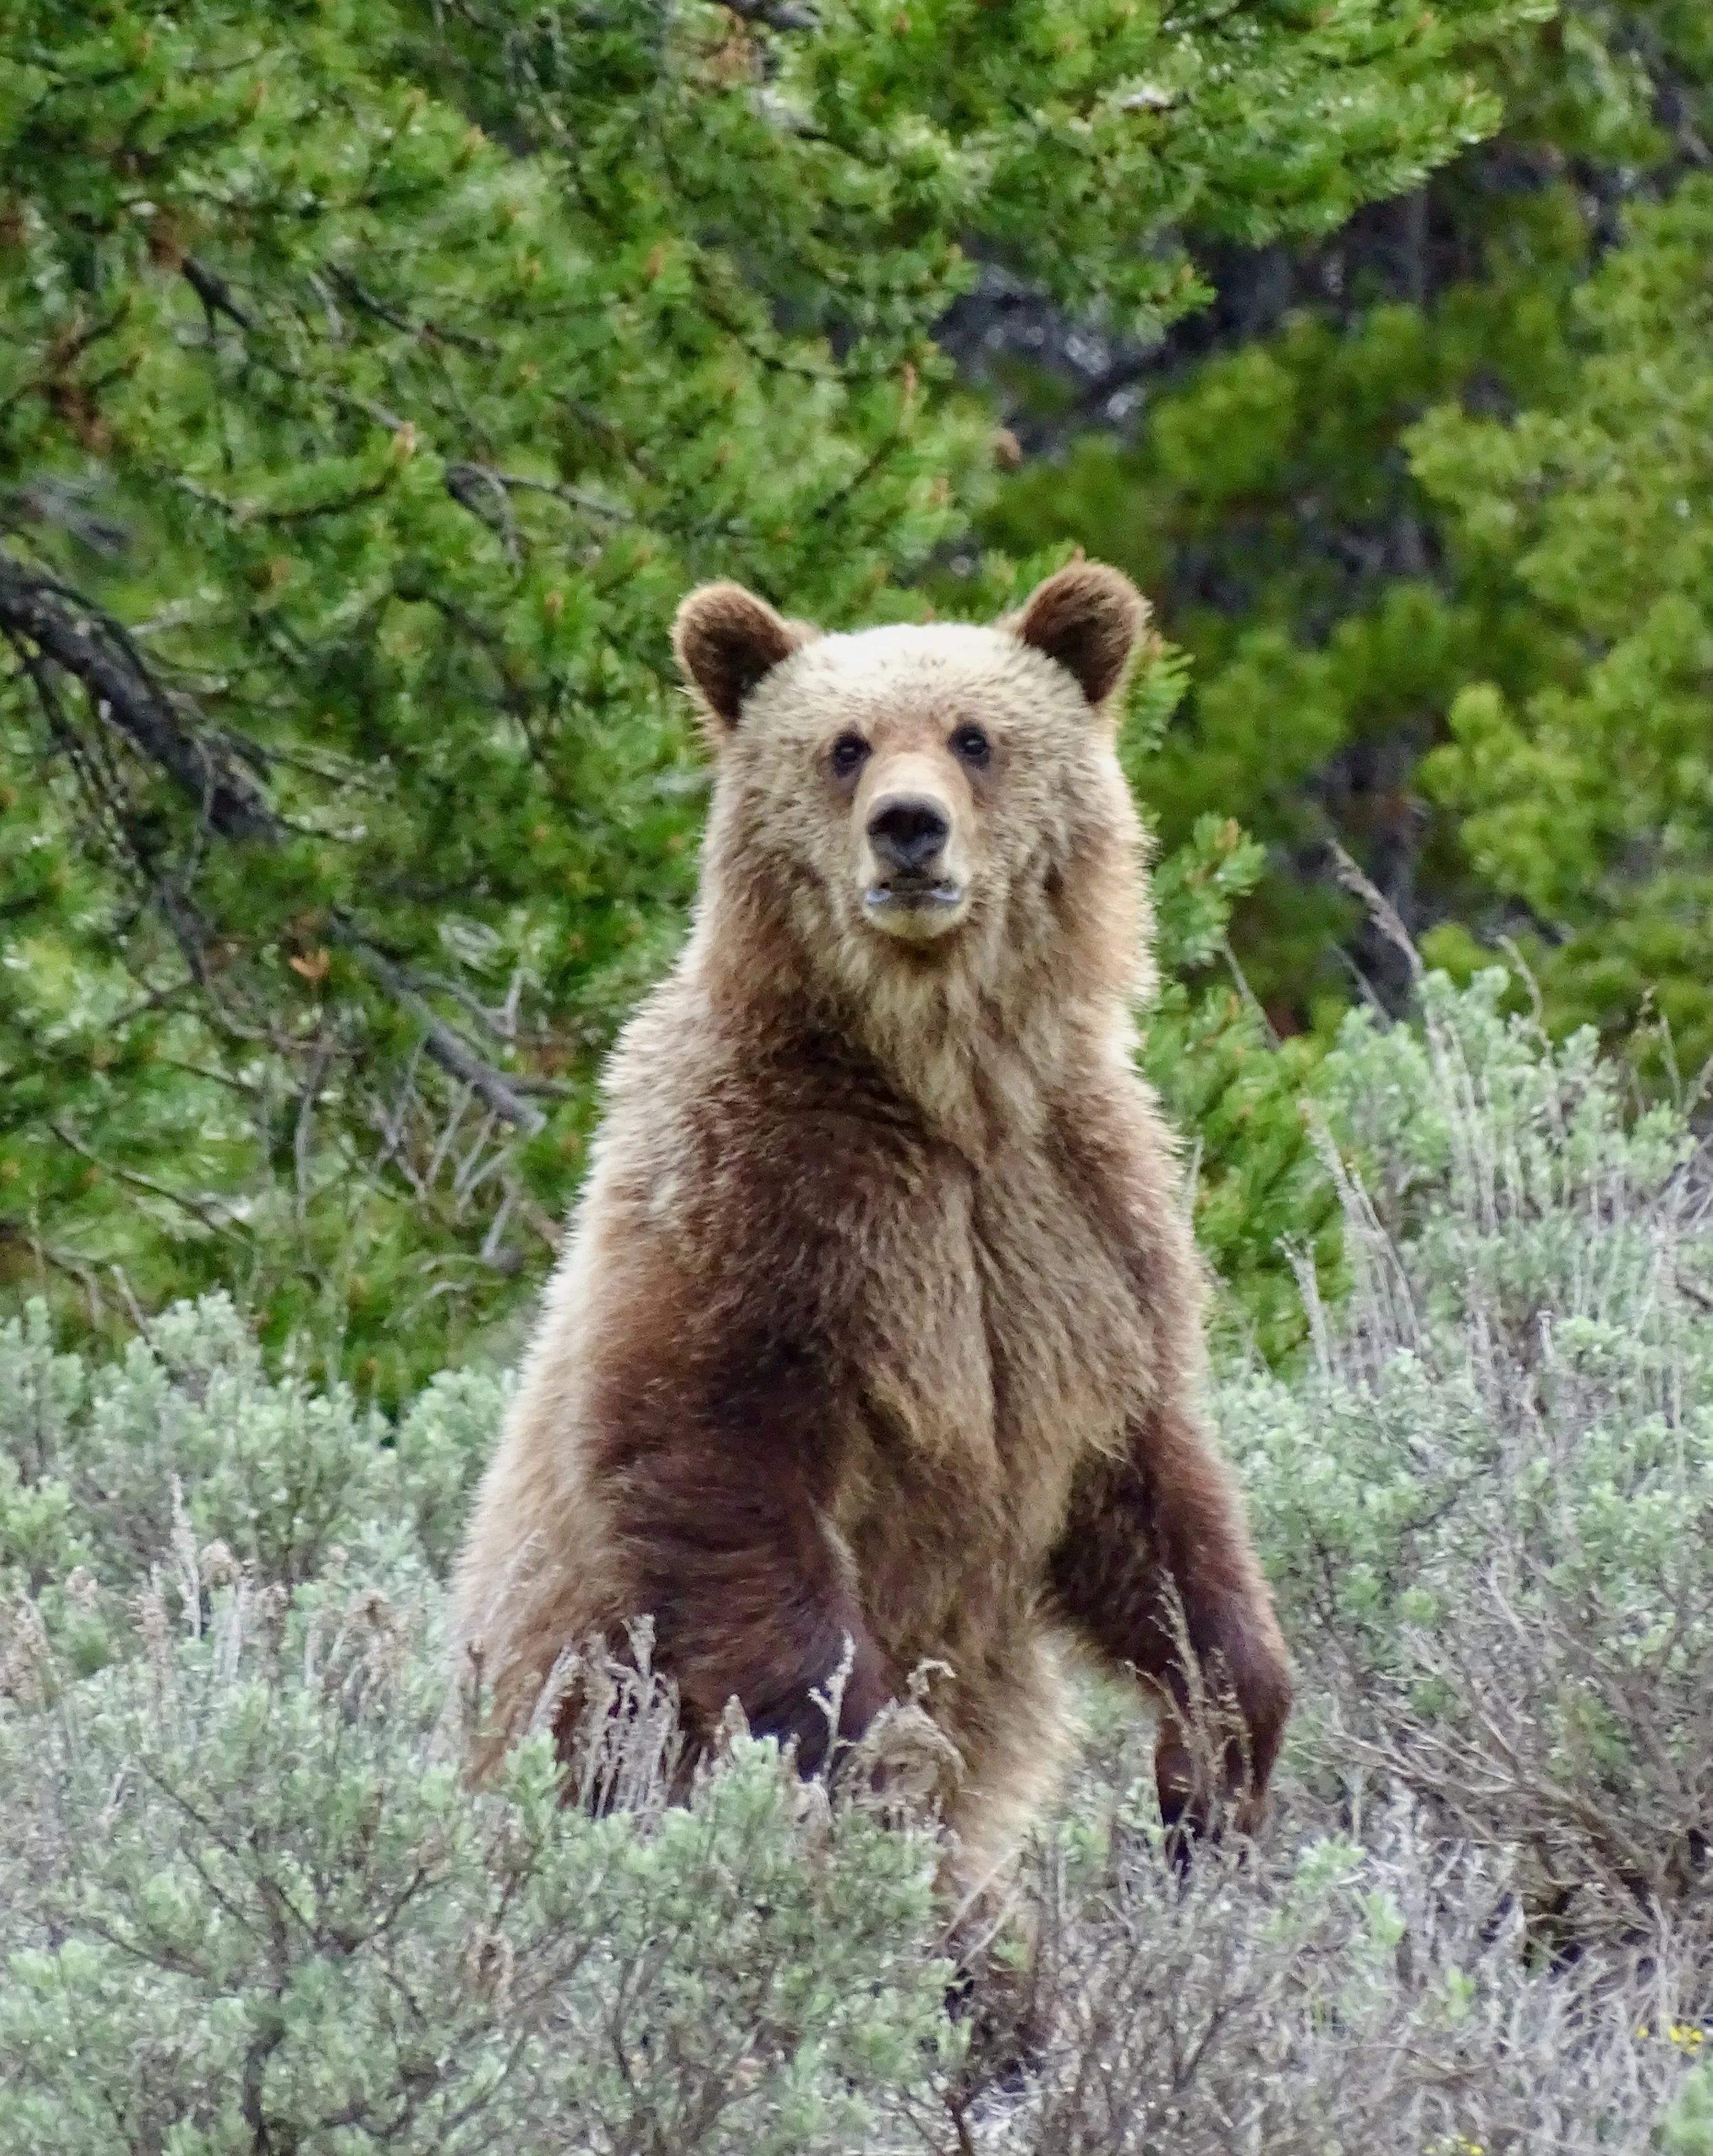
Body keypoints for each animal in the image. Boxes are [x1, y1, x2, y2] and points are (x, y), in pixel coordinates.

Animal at [450, 559, 1292, 1886]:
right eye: (843, 746)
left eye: (975, 735)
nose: (909, 827)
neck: (941, 1085)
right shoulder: (762, 1204)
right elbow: (714, 1466)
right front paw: (868, 1759)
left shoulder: (1076, 1221)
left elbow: (1149, 1492)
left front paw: (1213, 1766)